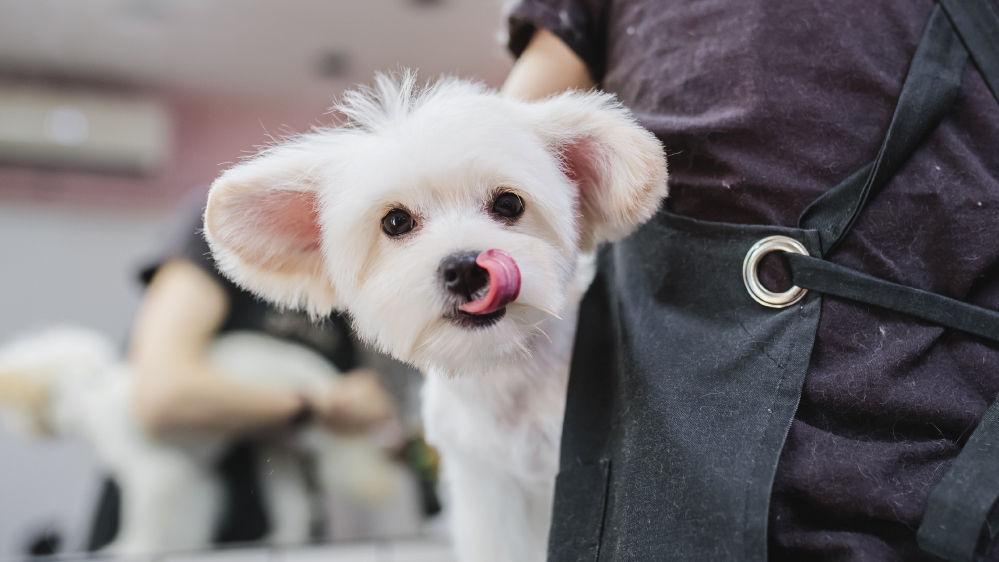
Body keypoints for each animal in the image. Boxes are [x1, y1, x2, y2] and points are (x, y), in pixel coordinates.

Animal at [0, 326, 398, 552]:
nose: (32, 431)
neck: (90, 395)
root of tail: (318, 371)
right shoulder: (189, 475)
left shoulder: (156, 472)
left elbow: (147, 517)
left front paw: (132, 546)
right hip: (276, 447)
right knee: (296, 507)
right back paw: (283, 539)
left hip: (328, 434)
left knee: (364, 470)